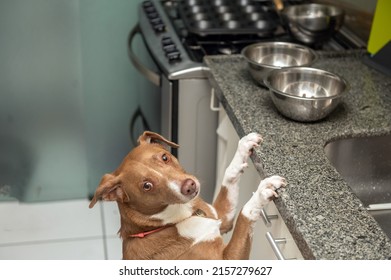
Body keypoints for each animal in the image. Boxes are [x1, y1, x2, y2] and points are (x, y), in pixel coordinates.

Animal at [91, 130, 288, 260]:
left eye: (164, 157)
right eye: (147, 185)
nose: (189, 186)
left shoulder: (221, 218)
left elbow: (229, 175)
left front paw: (244, 146)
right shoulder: (227, 259)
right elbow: (244, 216)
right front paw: (262, 192)